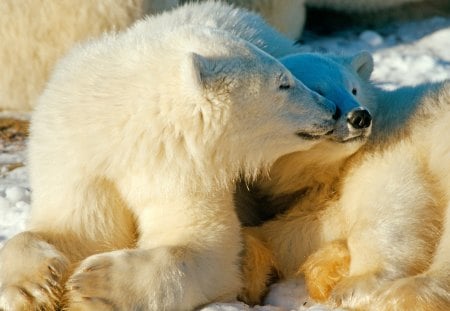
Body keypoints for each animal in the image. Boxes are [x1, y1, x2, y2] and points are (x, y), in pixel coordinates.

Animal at [0, 7, 342, 311]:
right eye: (284, 83)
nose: (332, 109)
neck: (124, 127)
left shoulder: (183, 166)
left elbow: (201, 244)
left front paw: (93, 285)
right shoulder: (81, 156)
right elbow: (76, 230)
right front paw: (27, 289)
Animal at [239, 52, 450, 310]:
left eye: (353, 89)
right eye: (317, 90)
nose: (360, 117)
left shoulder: (388, 149)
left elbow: (390, 200)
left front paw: (356, 284)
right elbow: (309, 226)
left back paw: (409, 293)